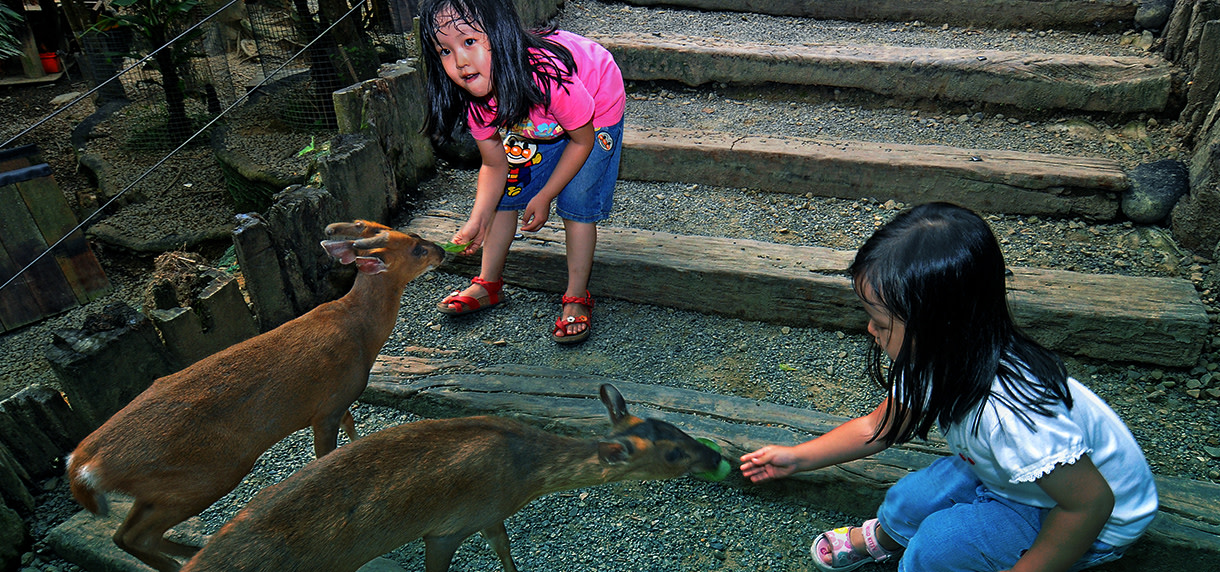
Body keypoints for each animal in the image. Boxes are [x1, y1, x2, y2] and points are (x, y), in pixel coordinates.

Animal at [65, 220, 445, 572]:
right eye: (416, 249)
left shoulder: (340, 400)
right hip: (205, 476)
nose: (441, 250)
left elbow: (352, 425)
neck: (361, 331)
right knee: (136, 536)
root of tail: (83, 463)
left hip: (161, 488)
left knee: (122, 535)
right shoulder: (327, 406)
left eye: (412, 237)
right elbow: (326, 455)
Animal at [178, 384, 726, 572]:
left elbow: (505, 549)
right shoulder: (446, 526)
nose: (712, 456)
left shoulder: (488, 514)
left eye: (675, 427)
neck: (520, 477)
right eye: (674, 453)